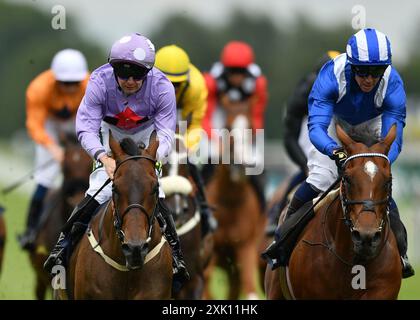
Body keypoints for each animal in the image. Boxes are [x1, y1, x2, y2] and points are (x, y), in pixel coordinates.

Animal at [203, 110, 262, 300]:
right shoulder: (212, 250)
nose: (246, 164)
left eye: (252, 129)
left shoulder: (246, 245)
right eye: (227, 128)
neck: (229, 202)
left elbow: (250, 285)